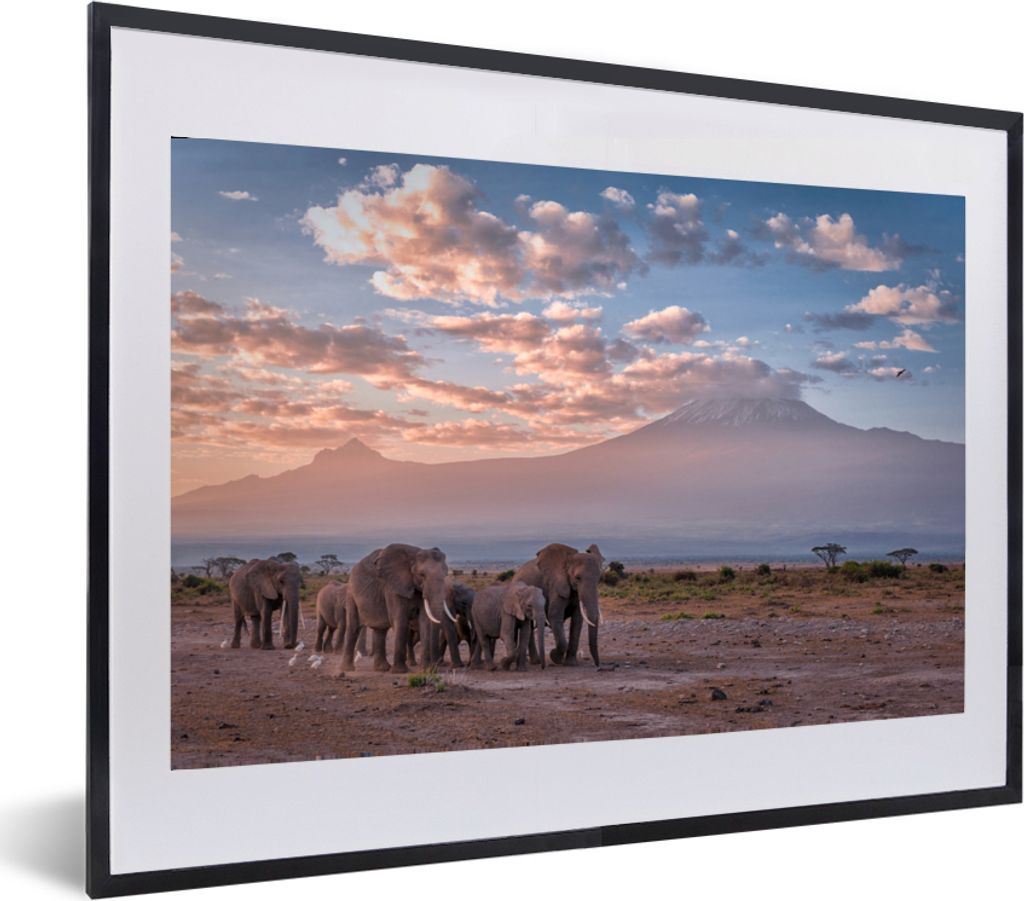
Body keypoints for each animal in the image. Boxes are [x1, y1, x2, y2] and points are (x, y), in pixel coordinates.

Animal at [340, 544, 449, 673]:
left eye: (446, 574)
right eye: (422, 575)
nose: (434, 668)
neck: (413, 555)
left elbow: (425, 621)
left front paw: (426, 670)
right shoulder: (392, 587)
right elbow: (400, 620)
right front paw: (400, 671)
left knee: (380, 630)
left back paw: (382, 669)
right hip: (351, 594)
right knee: (353, 627)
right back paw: (348, 669)